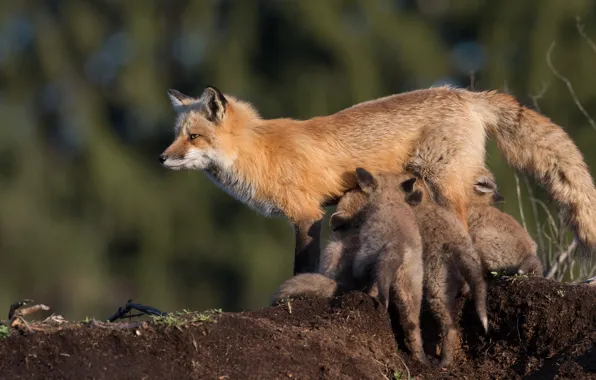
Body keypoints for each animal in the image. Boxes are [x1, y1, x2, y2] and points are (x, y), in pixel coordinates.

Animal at [158, 85, 596, 274]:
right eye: (177, 134)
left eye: (193, 137)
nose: (162, 158)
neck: (260, 151)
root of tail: (464, 93)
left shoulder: (306, 214)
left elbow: (301, 266)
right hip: (460, 180)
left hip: (441, 181)